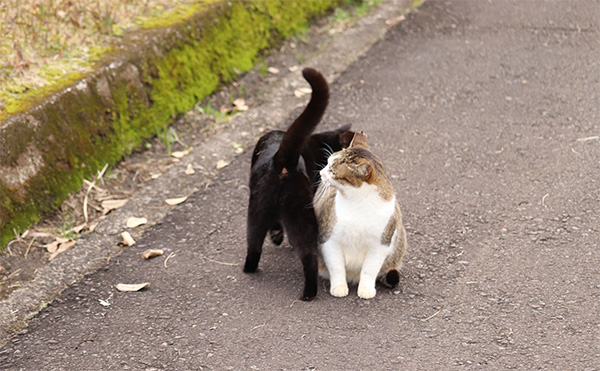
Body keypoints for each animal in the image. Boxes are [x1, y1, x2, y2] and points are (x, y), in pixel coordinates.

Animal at [245, 67, 356, 302]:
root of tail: (281, 160)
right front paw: (277, 237)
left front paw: (276, 236)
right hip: (300, 211)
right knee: (308, 252)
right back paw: (309, 292)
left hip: (257, 210)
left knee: (255, 243)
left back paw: (251, 269)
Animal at [314, 131, 408, 300]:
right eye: (327, 163)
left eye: (332, 170)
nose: (321, 173)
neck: (356, 202)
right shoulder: (329, 239)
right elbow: (337, 268)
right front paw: (339, 287)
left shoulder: (380, 245)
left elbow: (369, 270)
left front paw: (366, 289)